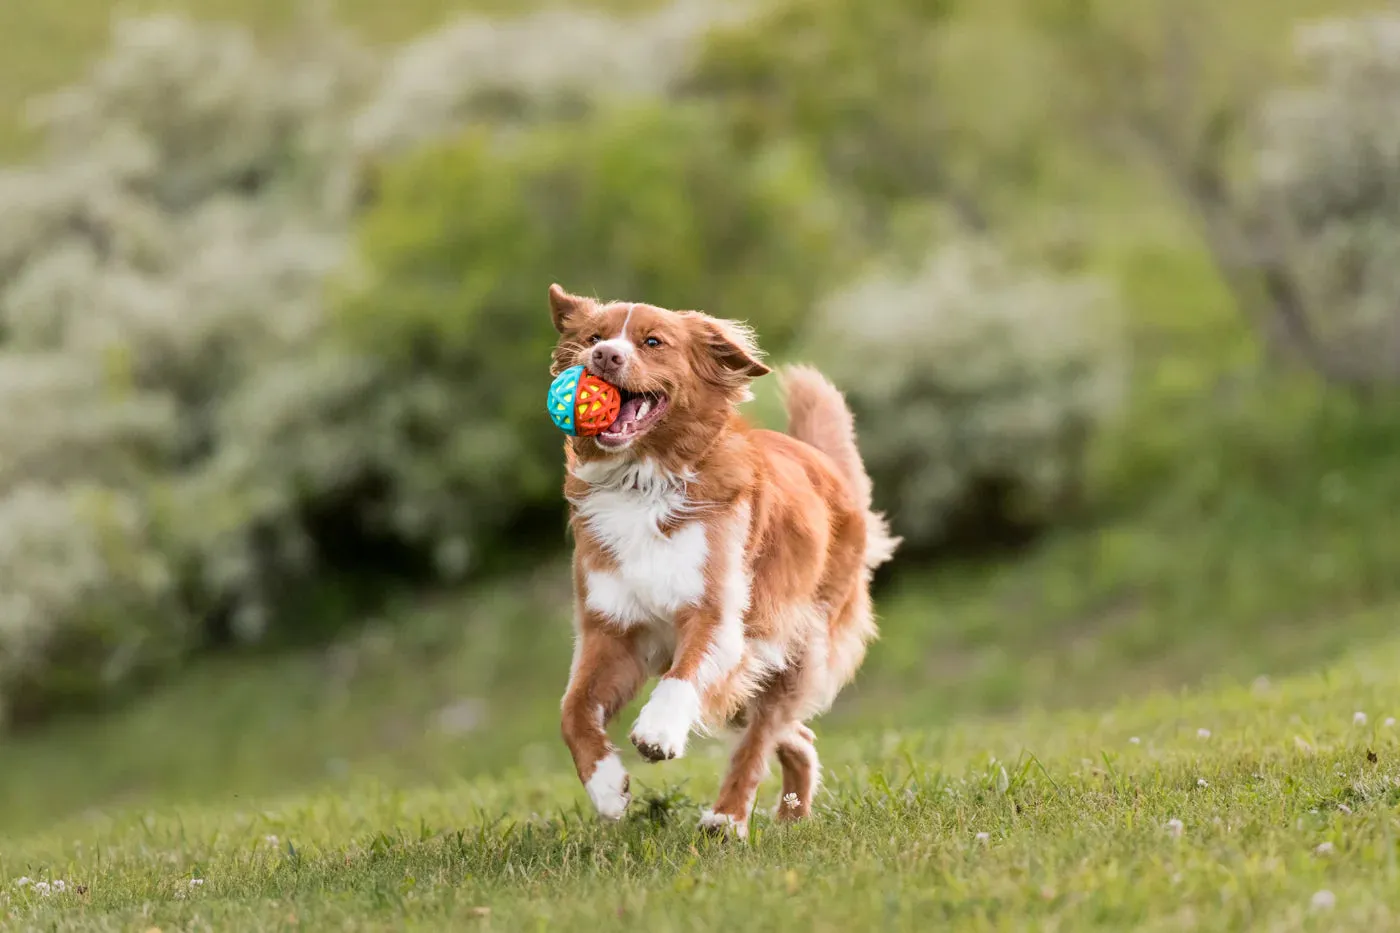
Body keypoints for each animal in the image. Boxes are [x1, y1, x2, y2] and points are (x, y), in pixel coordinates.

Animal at [546, 282, 896, 834]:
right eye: (594, 338)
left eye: (652, 342)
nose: (604, 357)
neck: (643, 482)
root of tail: (828, 465)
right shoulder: (611, 630)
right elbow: (573, 710)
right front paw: (606, 787)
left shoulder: (717, 615)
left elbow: (683, 676)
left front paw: (659, 730)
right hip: (753, 678)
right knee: (796, 736)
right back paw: (791, 815)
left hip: (790, 647)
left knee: (760, 739)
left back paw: (728, 819)